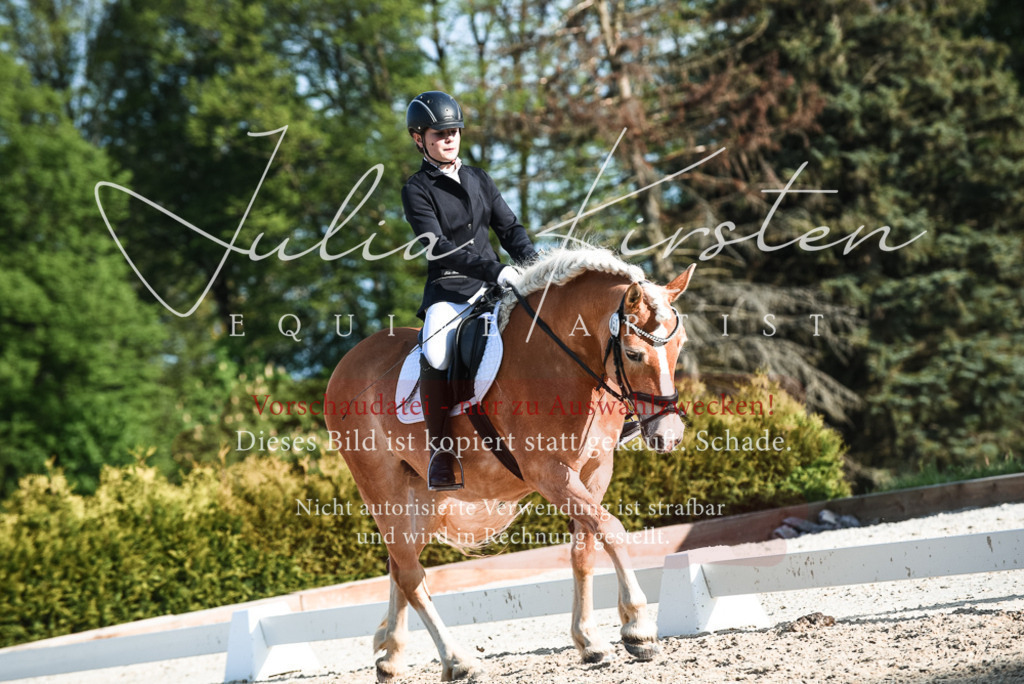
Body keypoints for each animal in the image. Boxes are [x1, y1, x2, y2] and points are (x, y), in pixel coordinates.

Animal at [324, 247, 696, 681]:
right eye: (635, 354)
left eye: (680, 346)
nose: (669, 435)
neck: (562, 361)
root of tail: (347, 360)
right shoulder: (550, 473)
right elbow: (611, 530)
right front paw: (638, 628)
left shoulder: (594, 470)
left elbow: (584, 548)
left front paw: (588, 641)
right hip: (381, 487)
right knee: (412, 574)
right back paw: (457, 661)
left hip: (423, 496)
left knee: (400, 565)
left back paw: (391, 656)